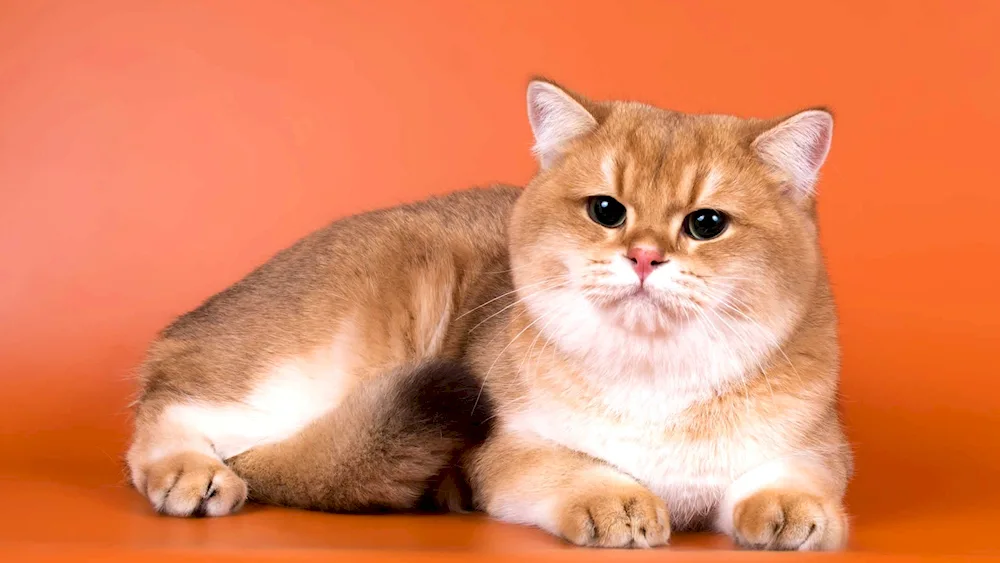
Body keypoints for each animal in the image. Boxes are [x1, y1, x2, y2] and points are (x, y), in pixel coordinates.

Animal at [127, 78, 852, 552]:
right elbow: (570, 467)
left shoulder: (818, 445)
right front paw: (615, 498)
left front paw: (793, 508)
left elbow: (794, 476)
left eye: (706, 224)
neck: (656, 376)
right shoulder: (506, 451)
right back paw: (190, 471)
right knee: (173, 412)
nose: (645, 257)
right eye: (606, 210)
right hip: (328, 351)